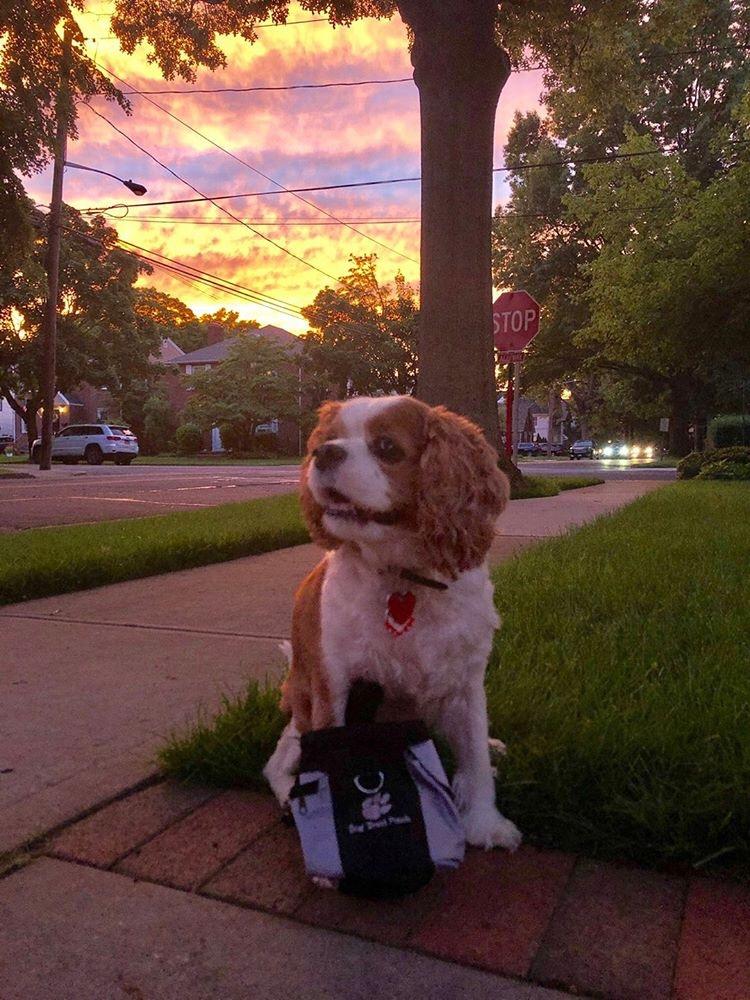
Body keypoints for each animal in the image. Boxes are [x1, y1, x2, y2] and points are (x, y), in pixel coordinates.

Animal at [264, 394, 524, 848]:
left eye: (386, 447)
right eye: (327, 438)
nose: (323, 453)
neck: (402, 576)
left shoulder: (466, 681)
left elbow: (473, 754)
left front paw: (484, 823)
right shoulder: (334, 686)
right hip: (302, 707)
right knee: (279, 760)